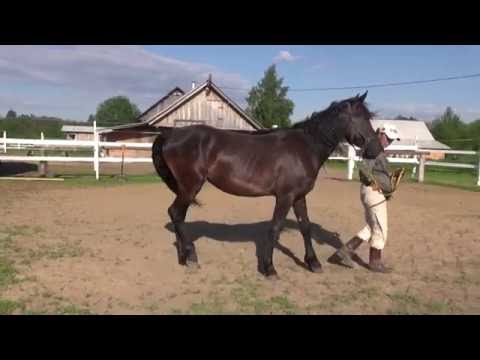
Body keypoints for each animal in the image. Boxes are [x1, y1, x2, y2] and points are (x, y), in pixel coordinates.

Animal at [152, 91, 380, 278]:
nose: (376, 149)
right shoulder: (285, 196)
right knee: (176, 213)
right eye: (360, 118)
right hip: (190, 186)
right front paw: (269, 268)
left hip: (186, 188)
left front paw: (313, 263)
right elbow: (275, 227)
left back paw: (184, 258)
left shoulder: (299, 196)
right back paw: (191, 257)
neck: (305, 147)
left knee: (178, 216)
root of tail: (171, 134)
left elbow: (305, 227)